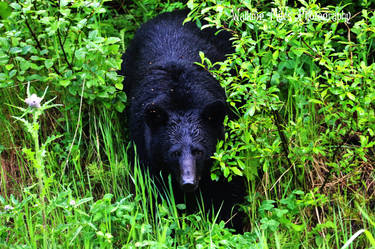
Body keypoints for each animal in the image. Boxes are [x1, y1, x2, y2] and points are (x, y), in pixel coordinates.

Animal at [119, 9, 245, 231]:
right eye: (174, 152)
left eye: (198, 151)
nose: (188, 182)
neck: (179, 98)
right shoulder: (145, 148)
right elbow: (154, 192)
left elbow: (228, 188)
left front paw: (230, 222)